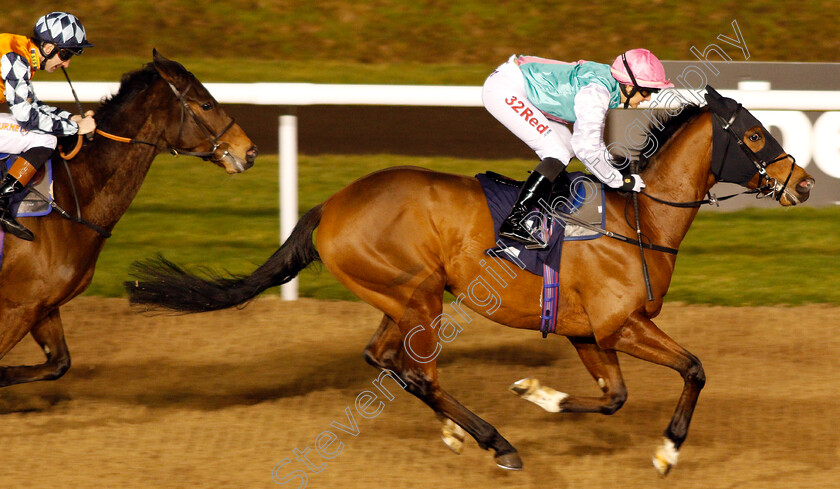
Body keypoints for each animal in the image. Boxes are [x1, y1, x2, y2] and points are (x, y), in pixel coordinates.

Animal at [0, 51, 256, 388]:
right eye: (206, 105)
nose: (249, 151)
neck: (68, 197)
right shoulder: (17, 306)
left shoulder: (41, 304)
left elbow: (59, 363)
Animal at [124, 97, 812, 474]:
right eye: (755, 134)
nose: (804, 183)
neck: (637, 220)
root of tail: (331, 205)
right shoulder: (622, 325)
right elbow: (694, 368)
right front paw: (666, 451)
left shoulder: (590, 333)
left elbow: (615, 396)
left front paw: (541, 394)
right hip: (420, 295)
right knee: (419, 371)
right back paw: (495, 442)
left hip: (400, 298)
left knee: (385, 357)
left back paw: (459, 429)